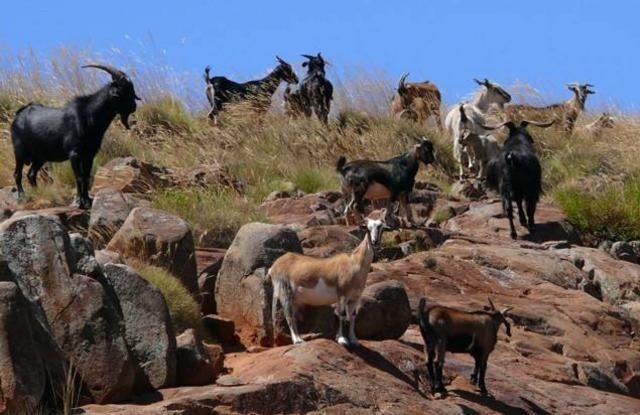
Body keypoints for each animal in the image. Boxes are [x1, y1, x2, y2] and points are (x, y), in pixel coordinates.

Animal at [266, 214, 382, 348]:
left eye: (380, 226)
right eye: (367, 228)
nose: (375, 241)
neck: (354, 263)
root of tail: (274, 267)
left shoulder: (355, 297)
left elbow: (352, 316)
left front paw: (354, 340)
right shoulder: (342, 294)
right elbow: (341, 314)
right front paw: (342, 339)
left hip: (293, 298)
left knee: (292, 315)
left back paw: (299, 337)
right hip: (285, 291)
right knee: (288, 315)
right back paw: (297, 340)